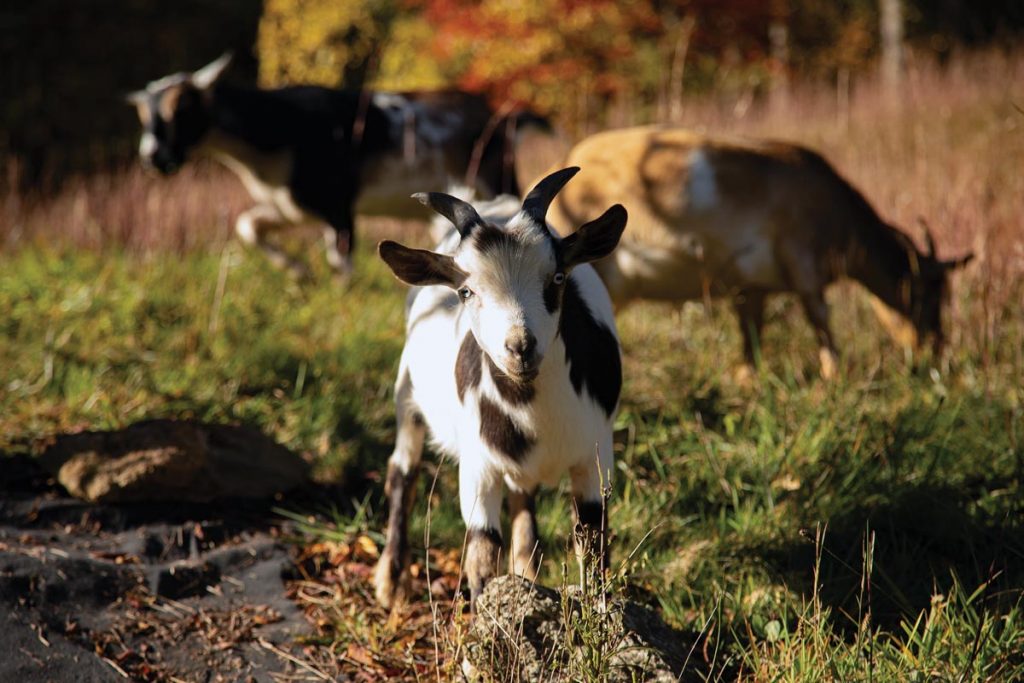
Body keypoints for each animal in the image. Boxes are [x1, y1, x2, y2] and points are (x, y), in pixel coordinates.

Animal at [127, 54, 551, 278]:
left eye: (181, 109)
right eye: (144, 117)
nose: (152, 158)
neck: (279, 132)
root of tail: (501, 117)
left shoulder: (338, 204)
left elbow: (342, 262)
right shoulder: (292, 206)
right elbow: (248, 226)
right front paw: (297, 271)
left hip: (495, 174)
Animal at [374, 168, 627, 609]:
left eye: (557, 277)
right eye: (466, 291)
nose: (520, 347)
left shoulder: (596, 454)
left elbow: (593, 544)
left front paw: (597, 615)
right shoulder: (478, 466)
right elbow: (481, 550)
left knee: (522, 493)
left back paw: (526, 569)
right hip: (407, 391)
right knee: (402, 470)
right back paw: (390, 581)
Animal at [543, 126, 974, 378]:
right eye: (928, 293)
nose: (935, 349)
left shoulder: (751, 286)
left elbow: (751, 333)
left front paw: (748, 379)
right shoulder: (804, 263)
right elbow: (820, 318)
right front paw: (833, 374)